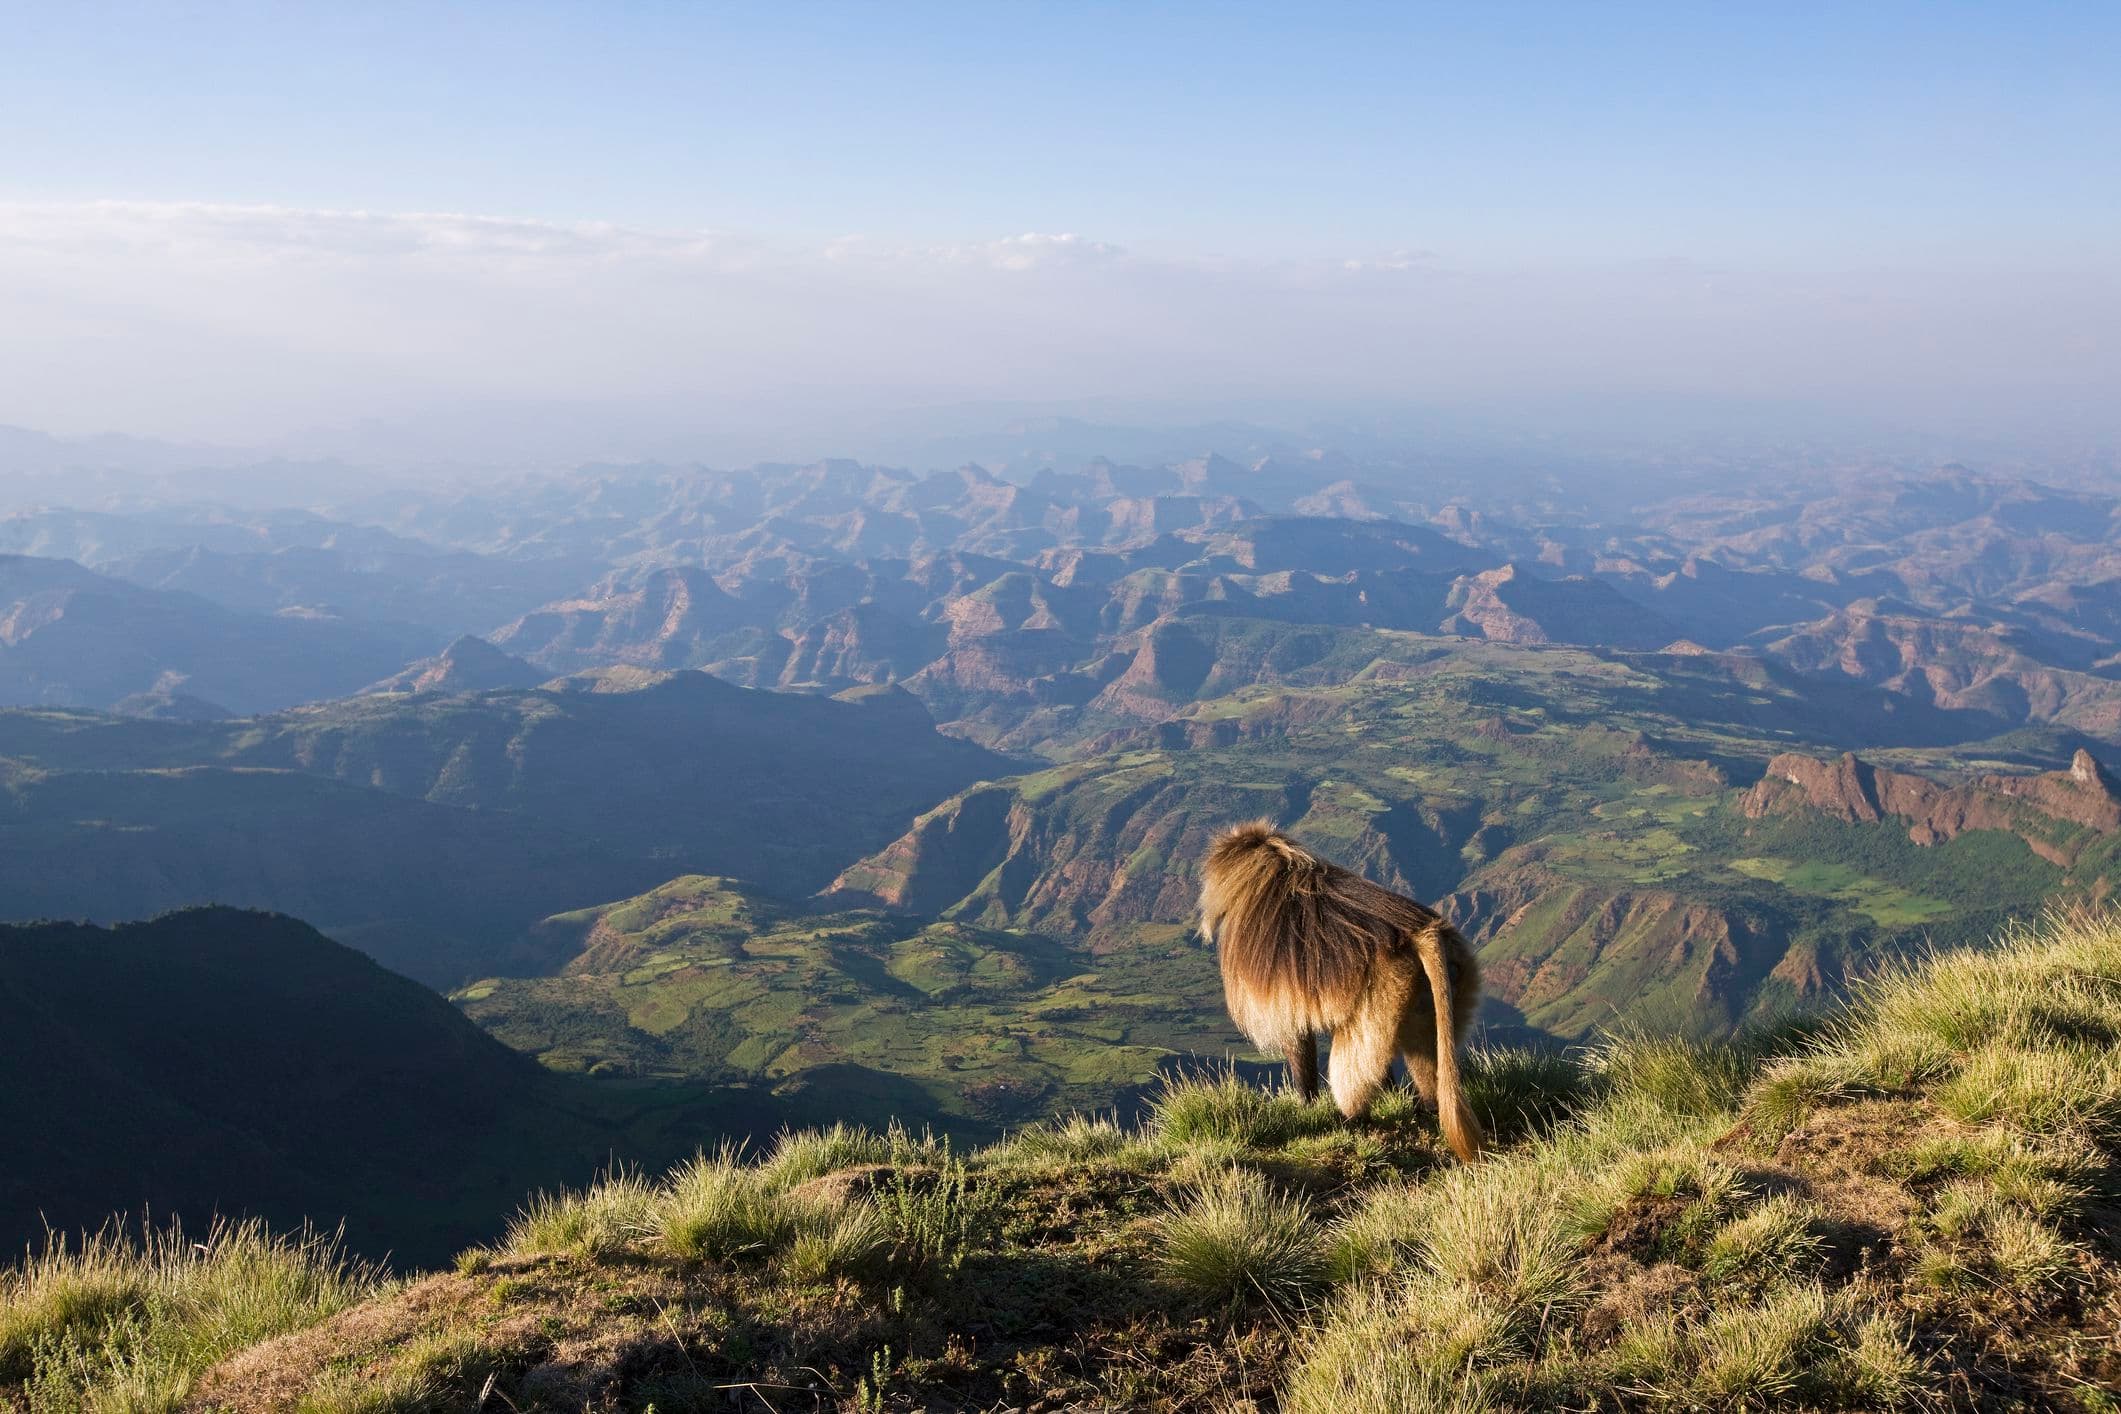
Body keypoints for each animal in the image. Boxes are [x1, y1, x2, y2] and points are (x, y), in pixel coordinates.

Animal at [1197, 820, 1486, 1162]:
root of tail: (1420, 933)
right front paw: (1389, 1093)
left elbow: (1296, 1036)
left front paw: (1306, 1105)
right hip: (1451, 981)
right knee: (1423, 1052)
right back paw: (1426, 1109)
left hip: (1385, 991)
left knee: (1355, 1057)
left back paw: (1352, 1119)